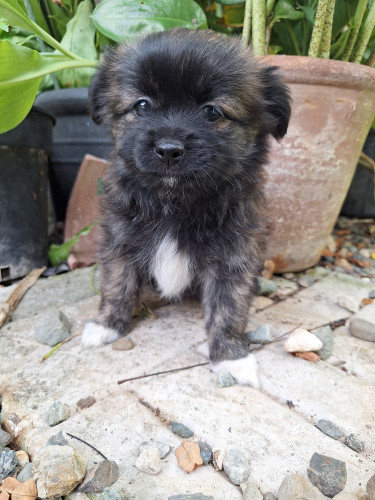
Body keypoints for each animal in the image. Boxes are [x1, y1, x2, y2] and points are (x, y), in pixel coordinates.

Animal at [83, 28, 292, 386]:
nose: (169, 149)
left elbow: (229, 306)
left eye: (212, 112)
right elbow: (117, 283)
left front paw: (231, 357)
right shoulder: (120, 240)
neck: (175, 202)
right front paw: (106, 325)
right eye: (141, 105)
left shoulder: (234, 256)